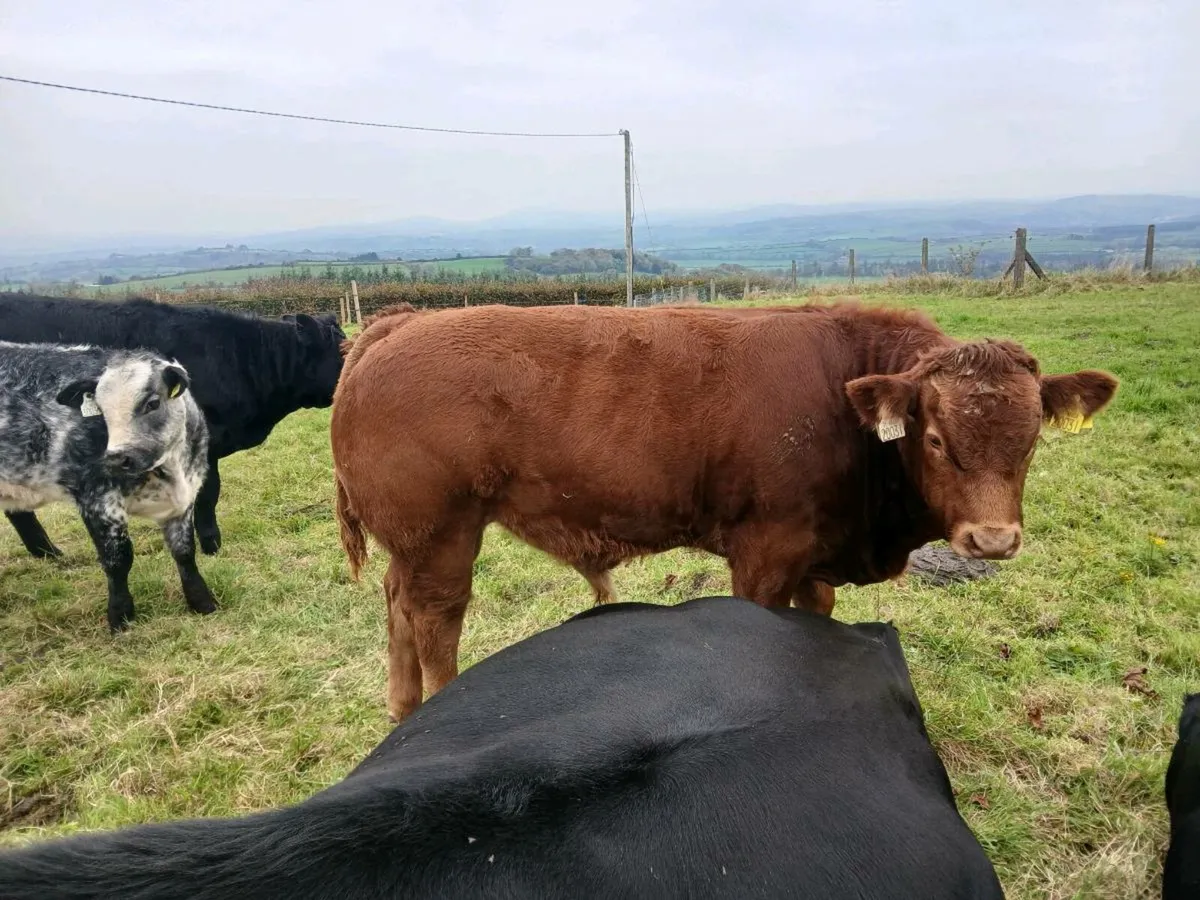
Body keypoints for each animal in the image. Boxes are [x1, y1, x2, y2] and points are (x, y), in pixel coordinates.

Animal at [0, 341, 215, 630]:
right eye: (100, 410)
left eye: (152, 403)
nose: (115, 458)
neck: (172, 469)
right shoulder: (96, 499)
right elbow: (118, 559)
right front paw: (120, 615)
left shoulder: (184, 499)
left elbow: (184, 551)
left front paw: (202, 602)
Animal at [331, 301, 1118, 721]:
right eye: (933, 438)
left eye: (1031, 438)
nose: (992, 538)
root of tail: (399, 324)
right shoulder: (765, 553)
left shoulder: (813, 557)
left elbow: (817, 613)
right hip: (442, 537)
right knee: (434, 620)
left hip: (416, 546)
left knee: (397, 605)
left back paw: (400, 711)